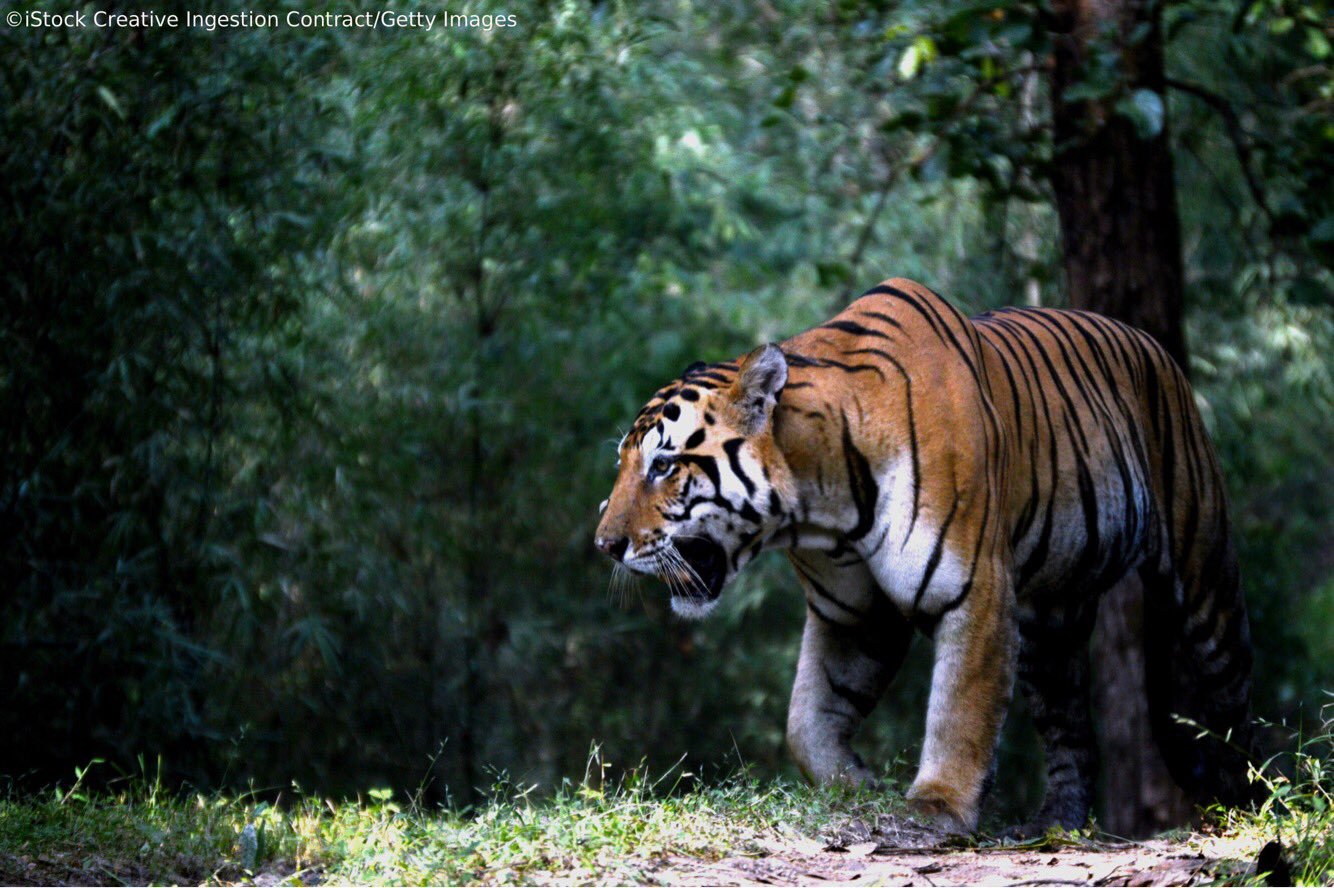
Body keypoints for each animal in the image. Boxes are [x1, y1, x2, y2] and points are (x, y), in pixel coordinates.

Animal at [594, 277, 1248, 832]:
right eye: (626, 462)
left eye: (663, 465)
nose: (603, 545)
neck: (820, 508)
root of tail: (1150, 342)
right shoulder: (852, 615)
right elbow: (806, 719)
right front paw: (855, 785)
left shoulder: (974, 591)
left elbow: (960, 710)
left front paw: (936, 809)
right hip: (1049, 628)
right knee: (1070, 731)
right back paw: (1054, 824)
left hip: (1200, 572)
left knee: (1230, 694)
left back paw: (1250, 804)